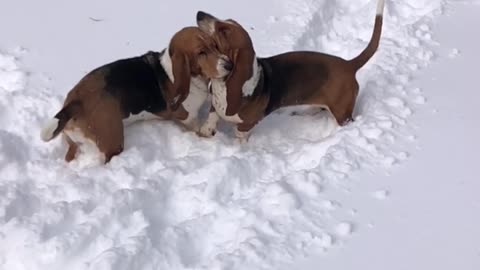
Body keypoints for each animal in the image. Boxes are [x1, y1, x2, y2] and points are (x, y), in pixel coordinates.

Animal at [39, 26, 232, 162]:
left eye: (214, 45)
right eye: (201, 53)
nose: (229, 65)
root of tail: (75, 102)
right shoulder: (187, 116)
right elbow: (198, 128)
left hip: (72, 142)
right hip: (113, 141)